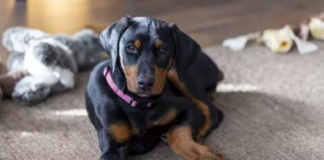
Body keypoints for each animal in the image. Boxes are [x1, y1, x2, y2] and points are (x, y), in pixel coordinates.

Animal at [85, 16, 224, 160]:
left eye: (163, 50)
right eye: (131, 47)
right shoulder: (113, 145)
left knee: (214, 111)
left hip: (178, 73)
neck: (139, 104)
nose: (145, 83)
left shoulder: (188, 107)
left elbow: (176, 133)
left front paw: (208, 155)